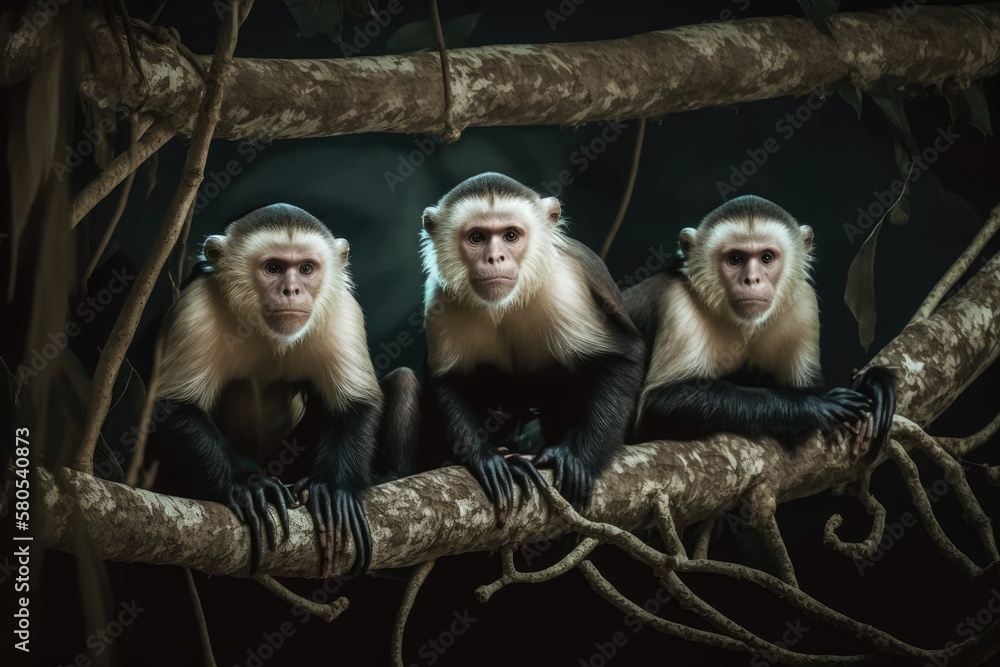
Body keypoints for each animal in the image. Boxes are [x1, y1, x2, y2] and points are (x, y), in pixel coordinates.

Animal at [149, 204, 418, 576]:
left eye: (305, 269)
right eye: (273, 268)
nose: (292, 291)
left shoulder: (343, 309)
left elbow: (355, 403)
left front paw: (333, 489)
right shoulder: (196, 304)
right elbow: (171, 407)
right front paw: (245, 485)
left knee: (403, 379)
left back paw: (388, 475)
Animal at [418, 174, 644, 520]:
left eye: (510, 236)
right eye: (477, 237)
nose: (494, 258)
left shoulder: (566, 286)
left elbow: (622, 359)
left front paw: (578, 459)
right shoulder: (439, 296)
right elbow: (446, 380)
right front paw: (488, 459)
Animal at [624, 194, 900, 460]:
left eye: (766, 258)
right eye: (735, 259)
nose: (752, 279)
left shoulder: (804, 304)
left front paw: (870, 384)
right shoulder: (678, 303)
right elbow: (659, 405)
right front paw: (812, 406)